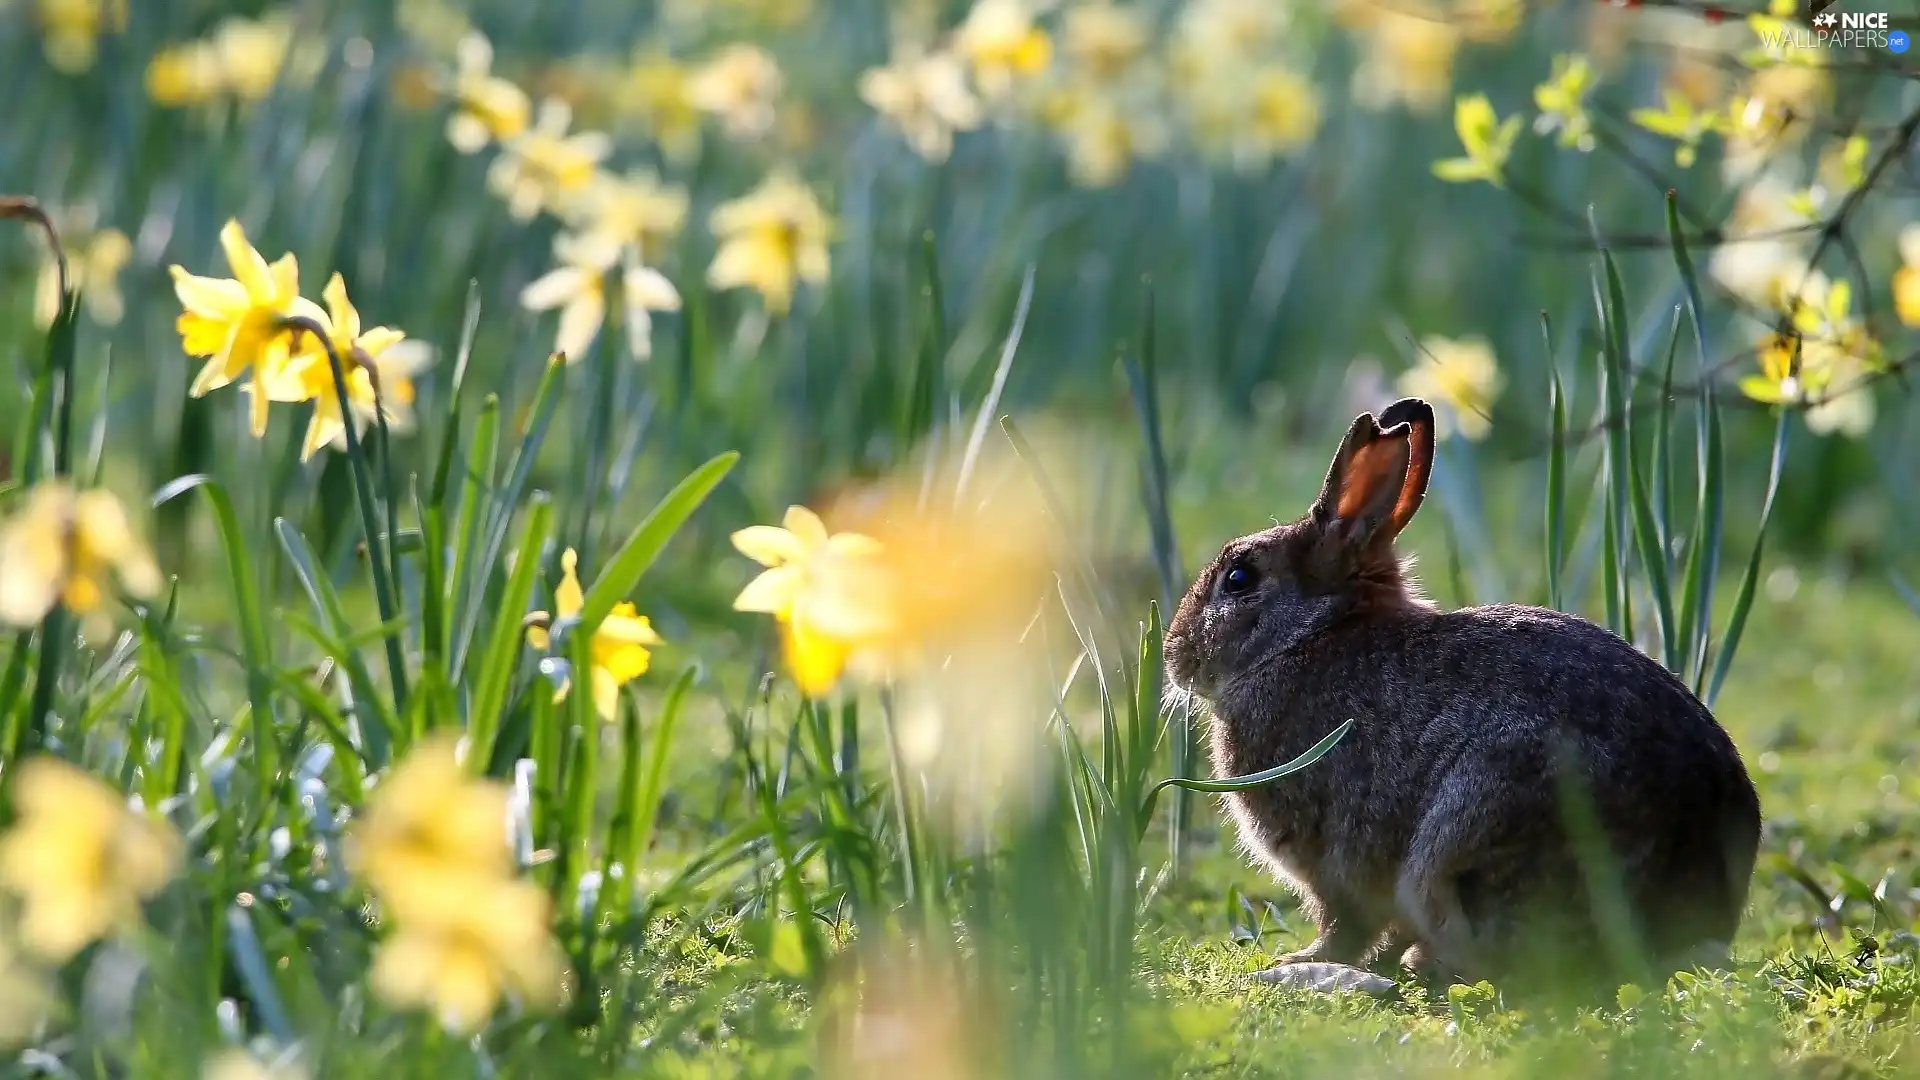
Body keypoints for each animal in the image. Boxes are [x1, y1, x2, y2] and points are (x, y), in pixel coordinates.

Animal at [1159, 397, 1758, 999]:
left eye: (1238, 578)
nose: (1173, 656)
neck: (1308, 634)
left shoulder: (1334, 864)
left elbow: (1343, 924)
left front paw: (1301, 960)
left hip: (1470, 839)